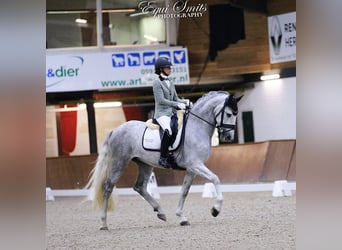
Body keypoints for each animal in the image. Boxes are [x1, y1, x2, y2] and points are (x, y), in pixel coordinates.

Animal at [87, 91, 242, 229]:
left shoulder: (192, 169)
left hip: (144, 164)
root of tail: (115, 130)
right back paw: (103, 223)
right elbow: (215, 178)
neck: (196, 127)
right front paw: (215, 209)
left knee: (139, 187)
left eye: (236, 114)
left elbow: (184, 191)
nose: (228, 137)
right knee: (108, 187)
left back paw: (160, 212)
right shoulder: (195, 164)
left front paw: (182, 218)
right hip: (120, 162)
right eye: (229, 114)